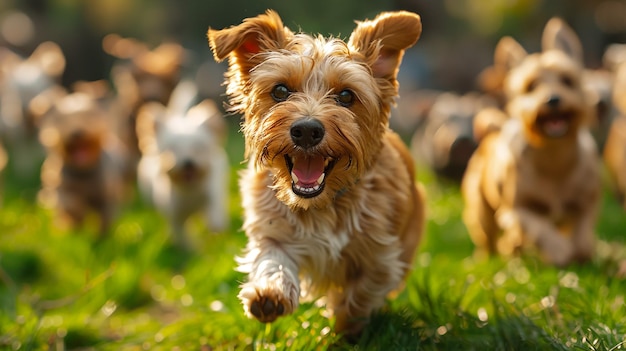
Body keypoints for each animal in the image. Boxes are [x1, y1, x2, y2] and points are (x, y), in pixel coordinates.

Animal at [134, 81, 229, 249]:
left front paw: (216, 227)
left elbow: (214, 210)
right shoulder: (175, 215)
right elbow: (181, 233)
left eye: (198, 148)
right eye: (171, 150)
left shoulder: (212, 192)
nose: (188, 162)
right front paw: (191, 248)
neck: (189, 189)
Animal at [208, 10, 424, 336]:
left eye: (346, 96)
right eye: (280, 90)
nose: (307, 130)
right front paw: (269, 294)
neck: (320, 205)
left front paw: (345, 328)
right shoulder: (271, 228)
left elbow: (359, 294)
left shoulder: (381, 258)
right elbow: (271, 257)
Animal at [458, 16, 600, 266]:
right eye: (531, 86)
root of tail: (495, 131)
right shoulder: (518, 210)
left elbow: (582, 239)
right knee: (490, 240)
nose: (552, 99)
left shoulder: (586, 203)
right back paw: (489, 257)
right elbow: (539, 229)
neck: (554, 160)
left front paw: (579, 253)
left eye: (567, 80)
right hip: (482, 212)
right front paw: (558, 250)